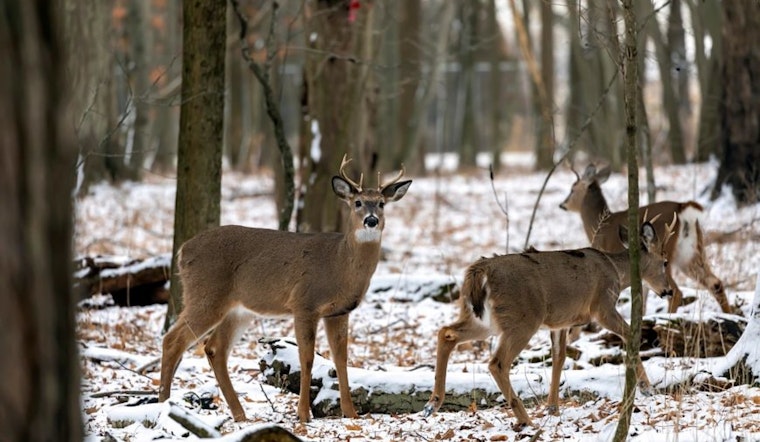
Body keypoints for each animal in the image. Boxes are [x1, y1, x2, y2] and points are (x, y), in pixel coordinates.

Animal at [158, 155, 412, 423]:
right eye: (358, 203)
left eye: (382, 203)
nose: (371, 220)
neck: (340, 264)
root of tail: (182, 251)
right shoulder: (304, 303)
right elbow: (307, 358)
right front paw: (303, 414)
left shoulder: (339, 311)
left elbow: (341, 358)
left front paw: (351, 413)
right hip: (205, 295)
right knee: (172, 340)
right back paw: (164, 402)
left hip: (238, 309)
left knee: (214, 348)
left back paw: (240, 414)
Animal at [422, 220, 674, 429]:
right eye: (664, 261)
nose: (669, 290)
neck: (616, 271)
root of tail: (478, 272)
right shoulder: (602, 307)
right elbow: (630, 334)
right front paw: (647, 388)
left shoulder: (560, 323)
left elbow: (559, 357)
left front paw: (553, 408)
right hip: (523, 319)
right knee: (497, 362)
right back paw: (525, 420)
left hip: (484, 320)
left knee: (446, 333)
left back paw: (432, 403)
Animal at [559, 163, 731, 314]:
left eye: (572, 189)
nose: (562, 204)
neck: (600, 225)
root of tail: (682, 207)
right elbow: (641, 304)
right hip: (691, 253)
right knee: (715, 283)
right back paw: (729, 315)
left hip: (667, 253)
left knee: (676, 291)